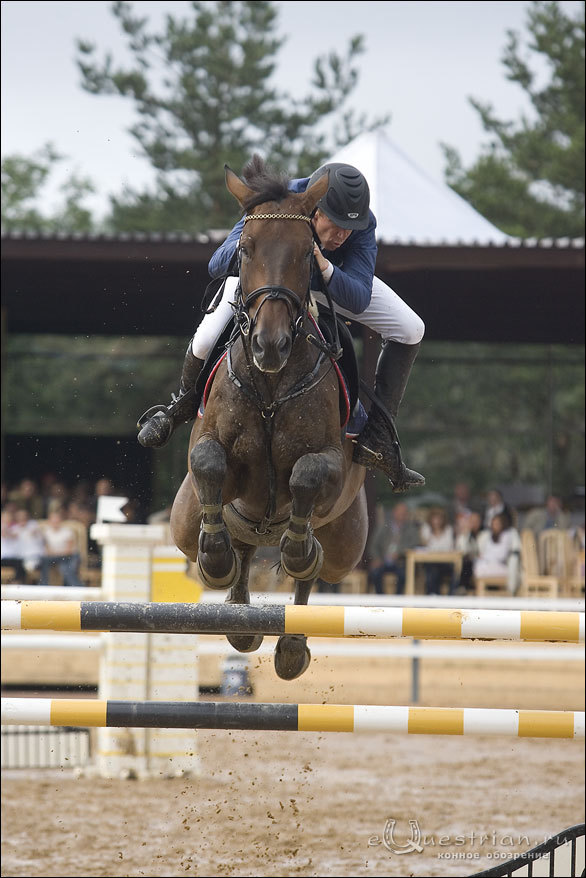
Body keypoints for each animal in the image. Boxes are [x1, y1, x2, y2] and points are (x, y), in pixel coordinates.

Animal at [169, 156, 368, 680]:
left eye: (306, 255)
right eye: (245, 249)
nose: (270, 346)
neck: (272, 389)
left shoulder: (330, 464)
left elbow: (304, 476)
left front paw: (299, 550)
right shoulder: (212, 452)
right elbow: (210, 462)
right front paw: (215, 560)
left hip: (347, 545)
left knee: (317, 571)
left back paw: (293, 641)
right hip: (183, 522)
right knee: (234, 544)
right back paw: (238, 611)